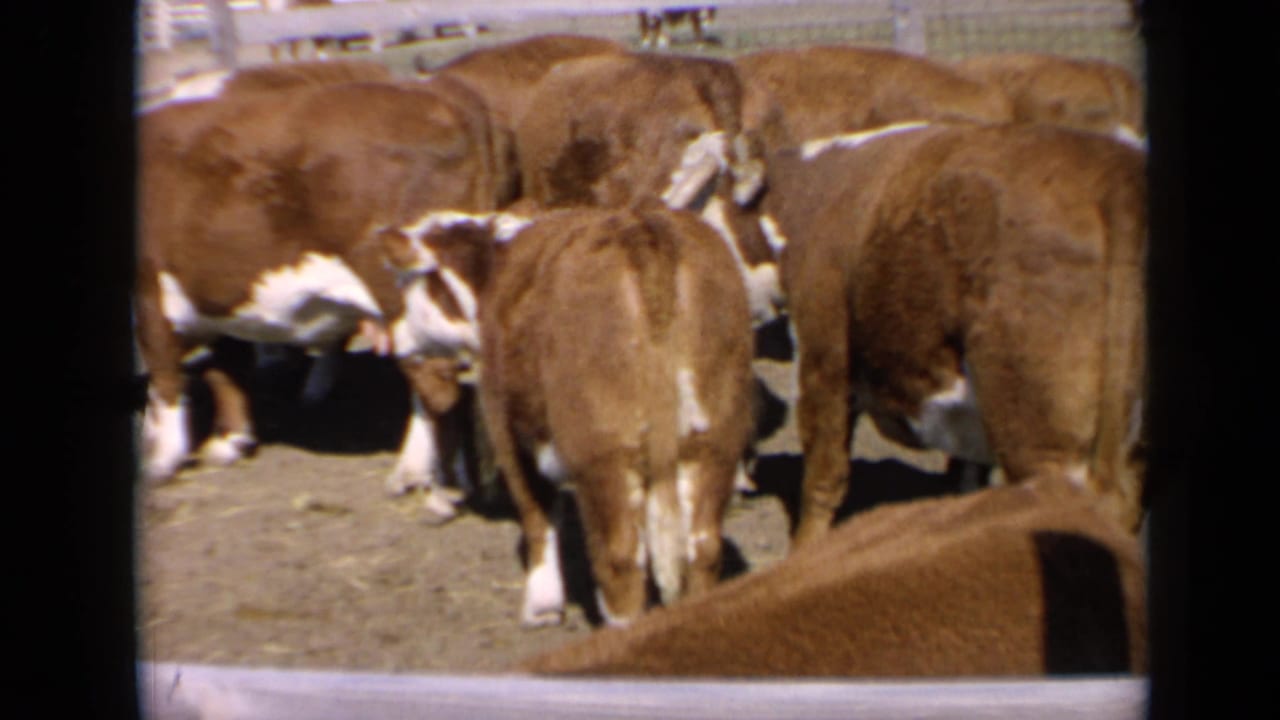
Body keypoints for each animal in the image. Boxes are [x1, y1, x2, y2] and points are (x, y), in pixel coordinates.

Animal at [136, 73, 510, 521]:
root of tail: (435, 88)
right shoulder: (217, 289)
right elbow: (225, 362)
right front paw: (230, 440)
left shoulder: (149, 290)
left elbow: (164, 374)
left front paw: (161, 460)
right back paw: (417, 473)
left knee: (440, 385)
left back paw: (441, 490)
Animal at [374, 203, 756, 628]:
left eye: (405, 286)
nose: (396, 344)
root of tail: (643, 230)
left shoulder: (507, 427)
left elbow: (536, 514)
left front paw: (542, 606)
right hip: (715, 439)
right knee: (702, 547)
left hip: (604, 452)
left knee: (620, 557)